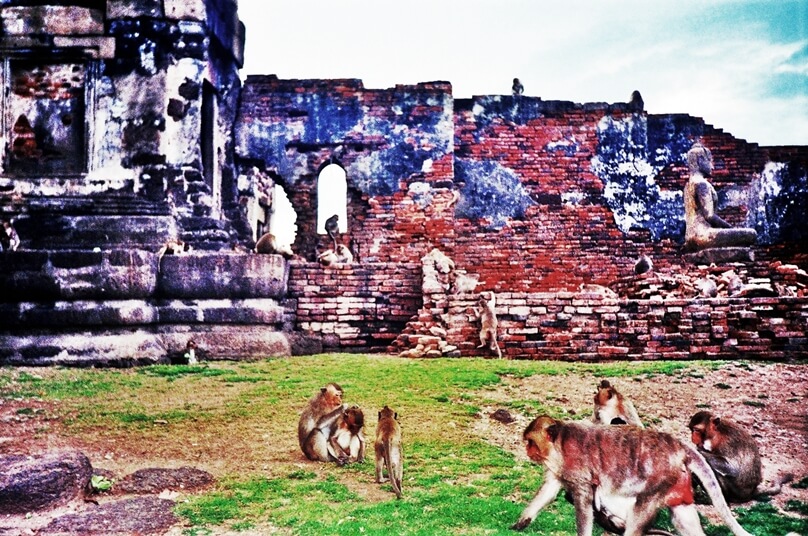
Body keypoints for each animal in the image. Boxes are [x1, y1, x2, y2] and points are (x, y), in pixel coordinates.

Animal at [516, 416, 756, 536]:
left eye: (530, 442)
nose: (527, 450)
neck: (560, 444)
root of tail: (677, 445)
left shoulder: (577, 470)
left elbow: (583, 504)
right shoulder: (557, 467)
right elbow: (549, 490)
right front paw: (522, 521)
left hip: (660, 479)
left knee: (639, 513)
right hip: (677, 483)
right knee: (683, 518)